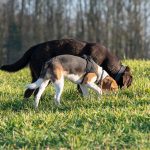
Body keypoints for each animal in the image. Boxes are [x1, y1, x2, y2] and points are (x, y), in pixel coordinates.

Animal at [0, 38, 132, 98]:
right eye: (130, 82)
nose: (127, 90)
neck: (106, 59)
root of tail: (35, 47)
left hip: (37, 76)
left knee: (29, 91)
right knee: (34, 91)